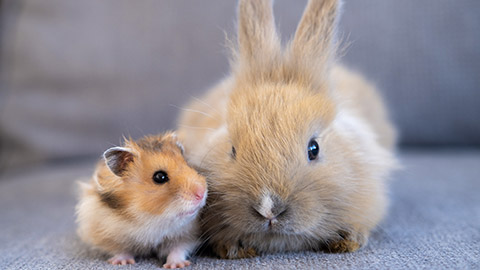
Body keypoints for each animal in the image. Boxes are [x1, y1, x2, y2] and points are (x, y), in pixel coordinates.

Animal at [76, 131, 207, 268]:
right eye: (159, 177)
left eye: (188, 164)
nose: (201, 193)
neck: (150, 218)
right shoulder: (107, 234)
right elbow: (121, 250)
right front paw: (122, 262)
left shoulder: (186, 234)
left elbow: (178, 249)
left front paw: (176, 265)